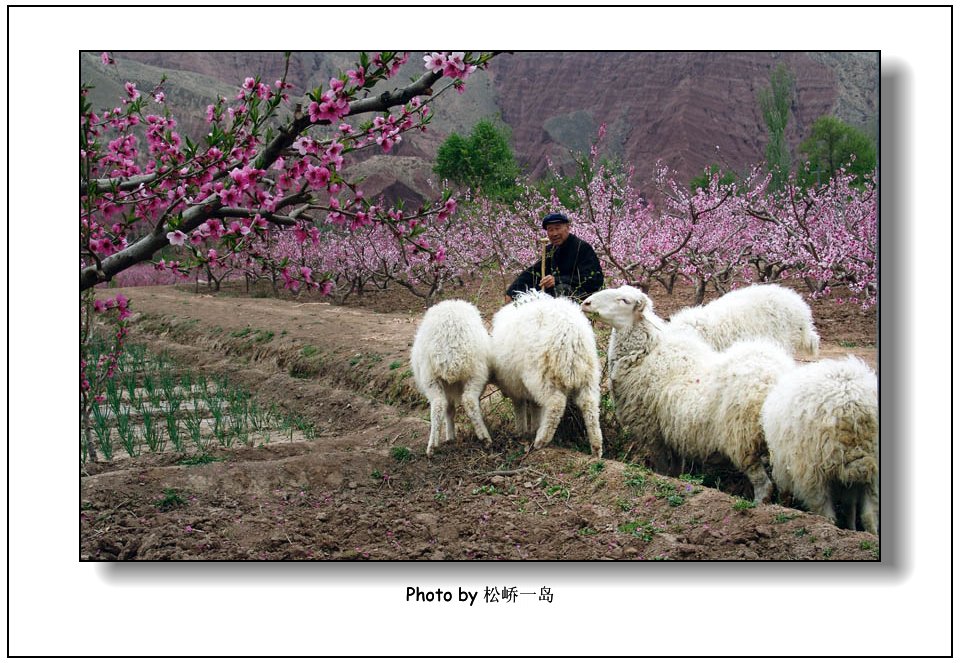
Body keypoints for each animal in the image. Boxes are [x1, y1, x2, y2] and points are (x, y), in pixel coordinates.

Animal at [408, 300, 492, 456]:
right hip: (473, 374)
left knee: (441, 405)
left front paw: (450, 436)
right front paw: (450, 436)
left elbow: (449, 410)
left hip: (432, 378)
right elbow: (450, 410)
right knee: (465, 402)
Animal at [492, 294, 604, 460]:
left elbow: (519, 407)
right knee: (589, 405)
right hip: (588, 374)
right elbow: (535, 407)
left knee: (555, 404)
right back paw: (596, 448)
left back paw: (541, 440)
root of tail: (571, 333)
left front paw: (521, 432)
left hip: (541, 375)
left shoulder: (514, 386)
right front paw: (533, 428)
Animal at [580, 286, 792, 504]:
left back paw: (758, 505)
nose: (586, 303)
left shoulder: (651, 429)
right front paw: (677, 481)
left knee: (764, 485)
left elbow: (661, 466)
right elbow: (676, 468)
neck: (646, 354)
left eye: (624, 300)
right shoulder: (673, 430)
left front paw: (660, 479)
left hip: (742, 438)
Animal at [760, 358, 880, 536]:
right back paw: (870, 534)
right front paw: (851, 529)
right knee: (869, 515)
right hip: (872, 471)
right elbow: (850, 506)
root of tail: (851, 402)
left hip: (813, 471)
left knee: (825, 513)